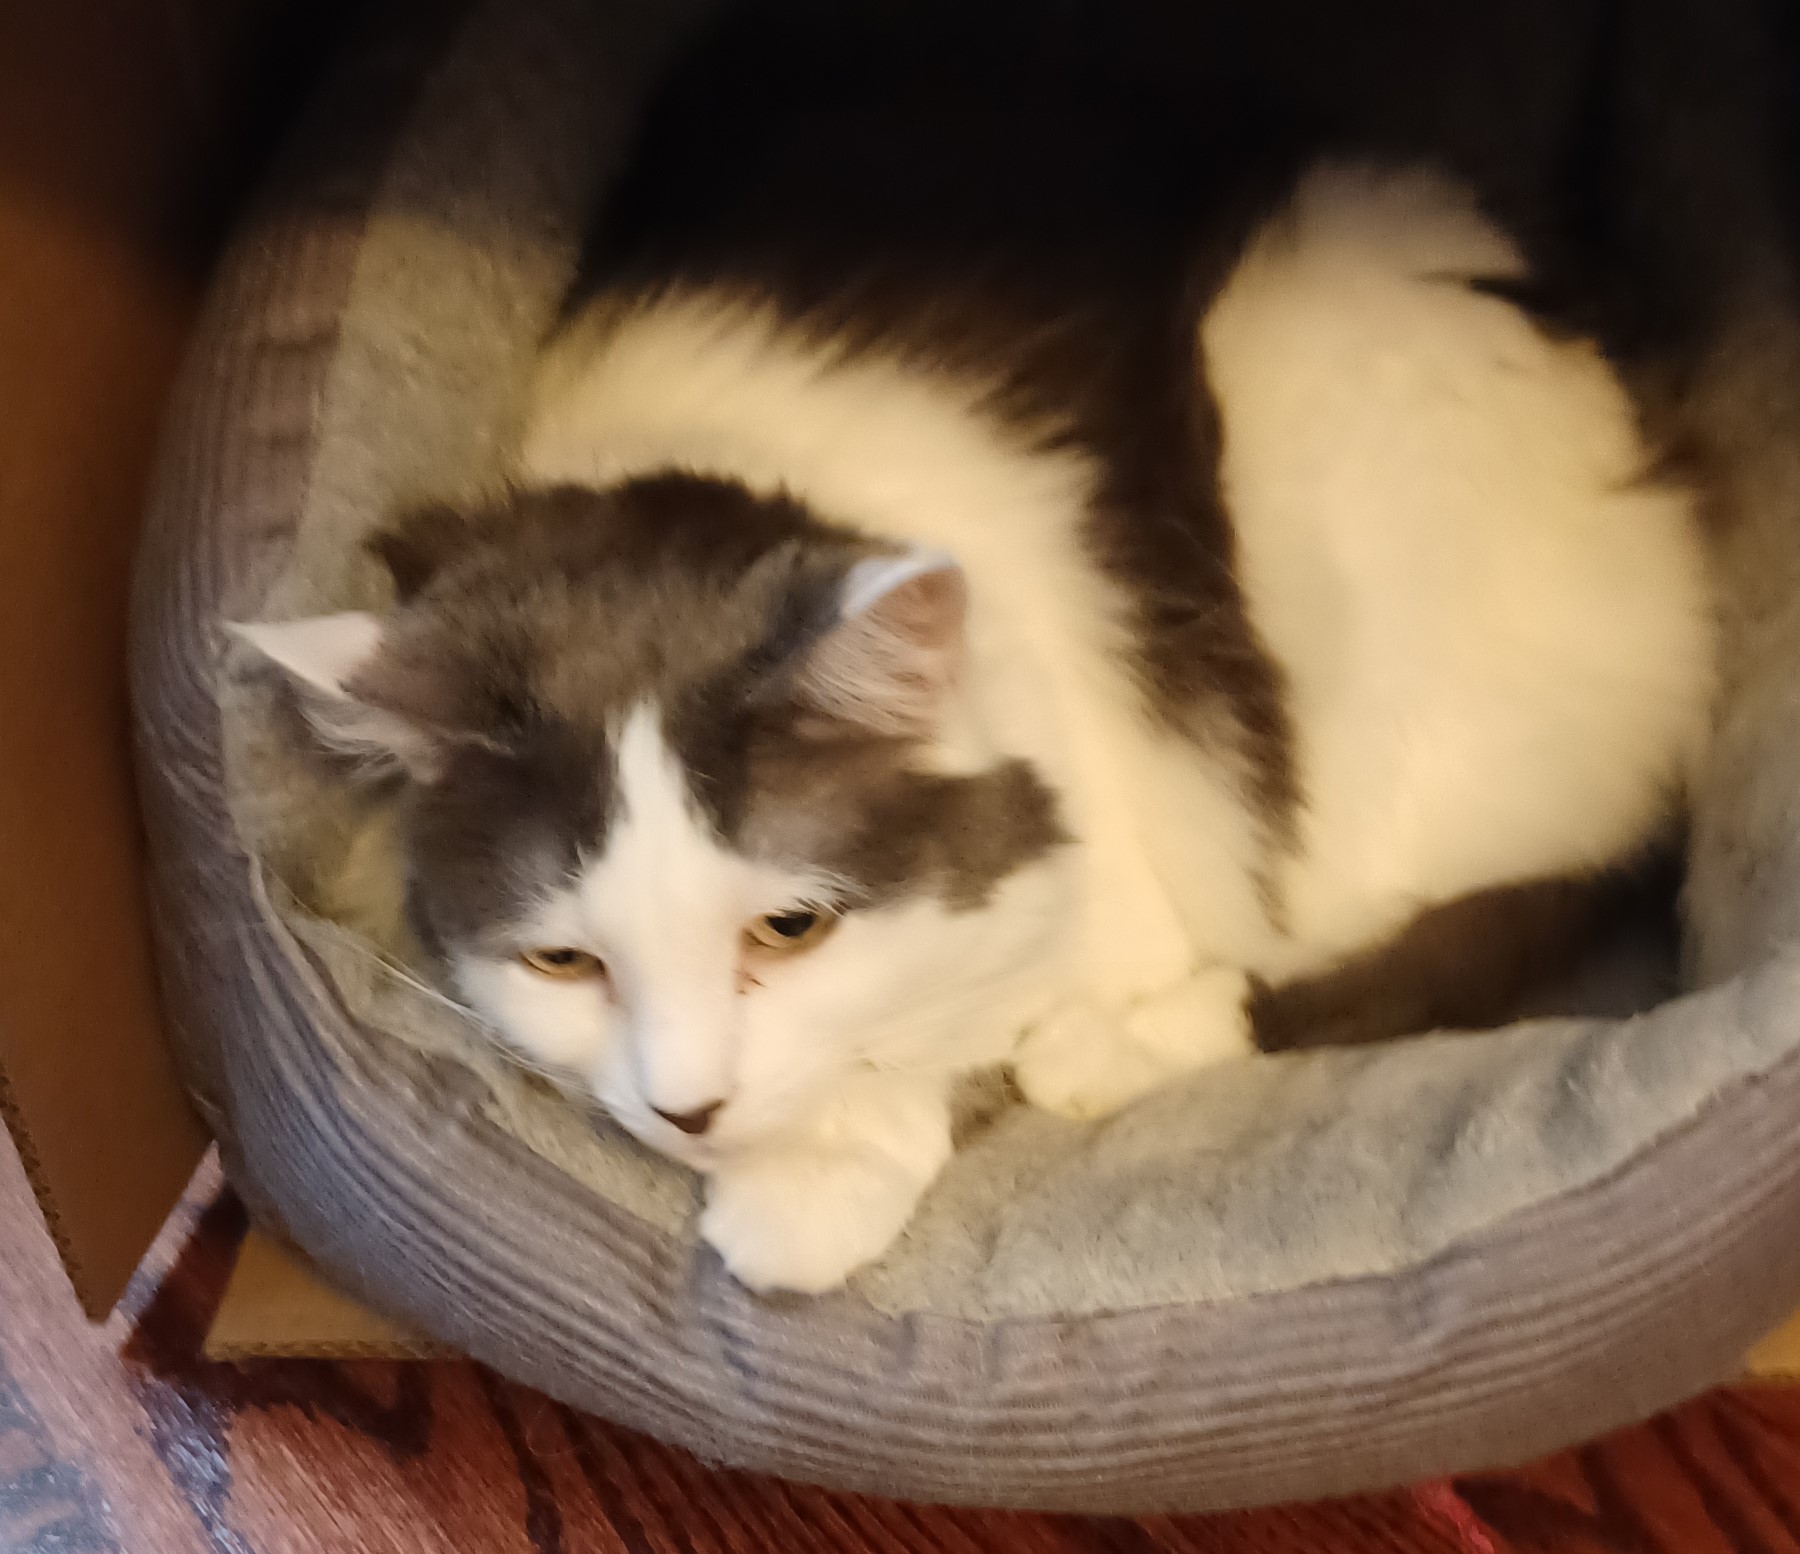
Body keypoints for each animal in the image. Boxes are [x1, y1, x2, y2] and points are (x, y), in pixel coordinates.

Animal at [225, 0, 1785, 1296]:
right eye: (564, 962)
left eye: (788, 927)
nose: (688, 1111)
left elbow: (954, 1011)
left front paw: (812, 1191)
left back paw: (1108, 1052)